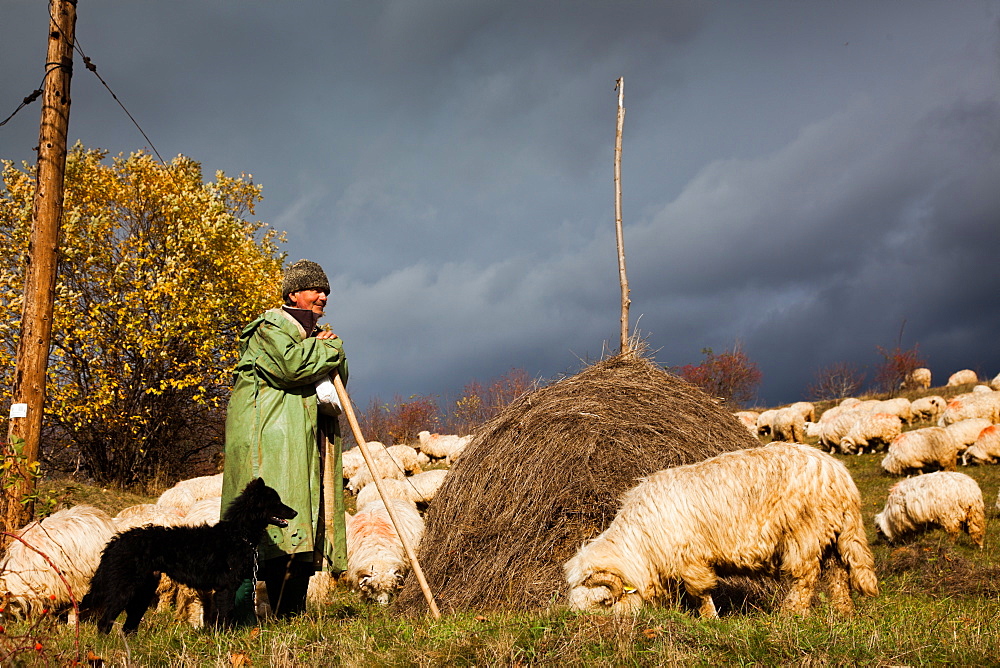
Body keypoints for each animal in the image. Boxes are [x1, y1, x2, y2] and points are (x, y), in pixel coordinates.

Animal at [79, 478, 296, 636]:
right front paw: (224, 638)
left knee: (128, 626)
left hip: (142, 592)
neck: (237, 534)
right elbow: (224, 616)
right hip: (124, 590)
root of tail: (116, 540)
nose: (295, 512)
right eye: (276, 502)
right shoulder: (225, 588)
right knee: (104, 622)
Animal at [564, 440, 876, 620]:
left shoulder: (690, 559)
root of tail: (839, 472)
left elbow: (701, 592)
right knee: (839, 573)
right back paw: (844, 612)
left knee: (806, 576)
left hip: (806, 533)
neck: (641, 542)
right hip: (831, 532)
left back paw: (792, 615)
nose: (590, 628)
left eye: (604, 602)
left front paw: (709, 620)